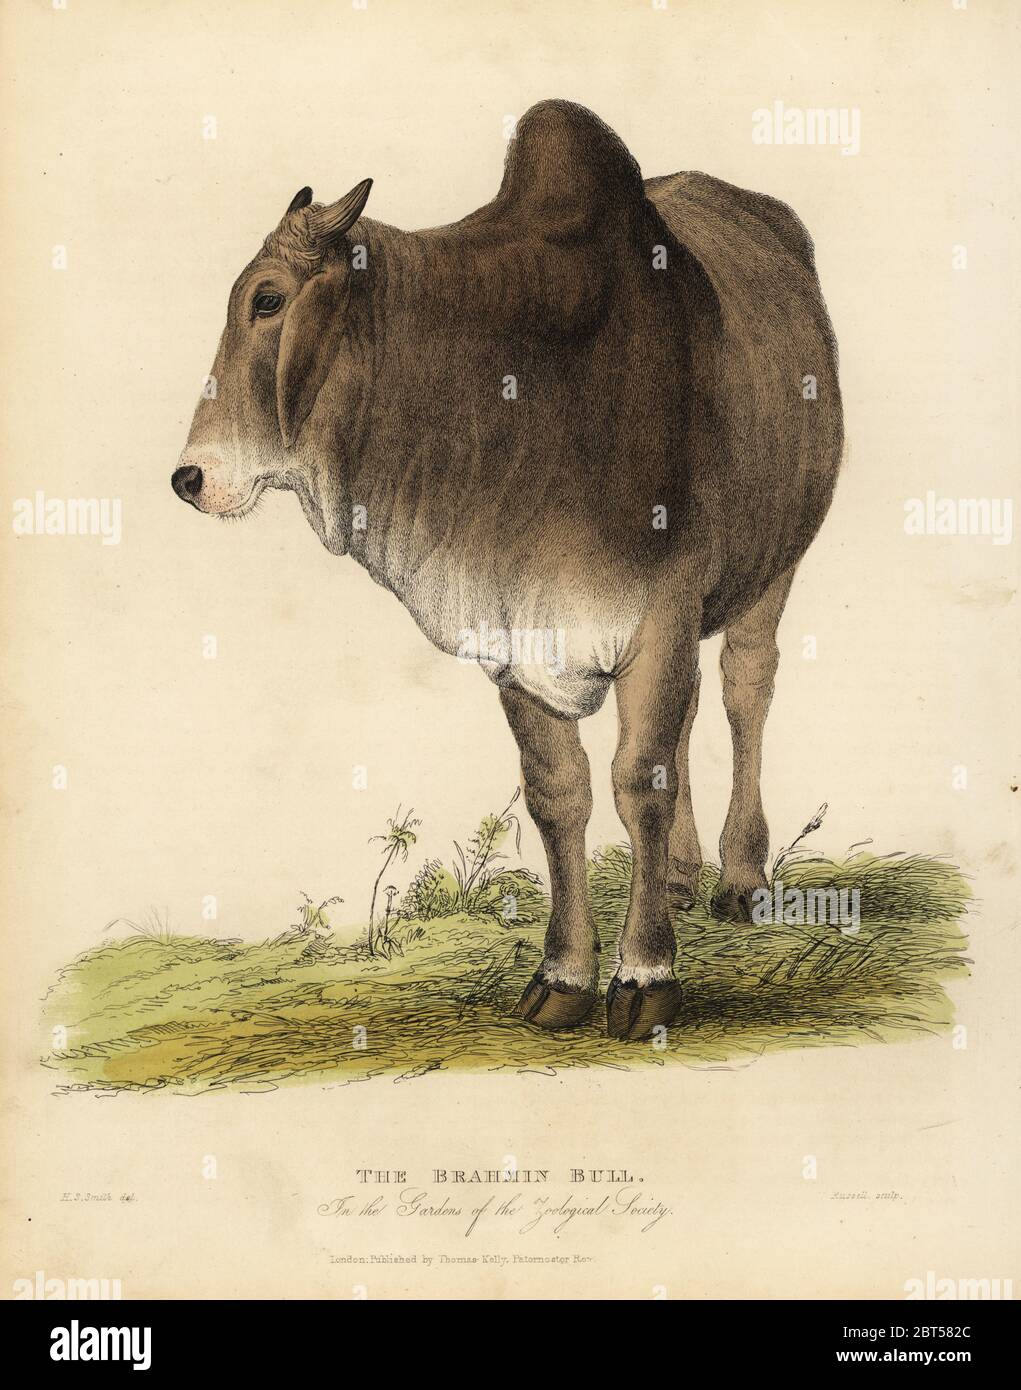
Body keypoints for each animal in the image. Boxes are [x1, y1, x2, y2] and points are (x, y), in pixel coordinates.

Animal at [173, 100, 843, 1041]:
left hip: (772, 565)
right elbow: (560, 793)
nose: (190, 477)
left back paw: (738, 879)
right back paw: (676, 877)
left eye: (267, 298)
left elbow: (638, 779)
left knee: (744, 691)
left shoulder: (662, 609)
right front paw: (563, 975)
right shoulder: (516, 633)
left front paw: (644, 974)